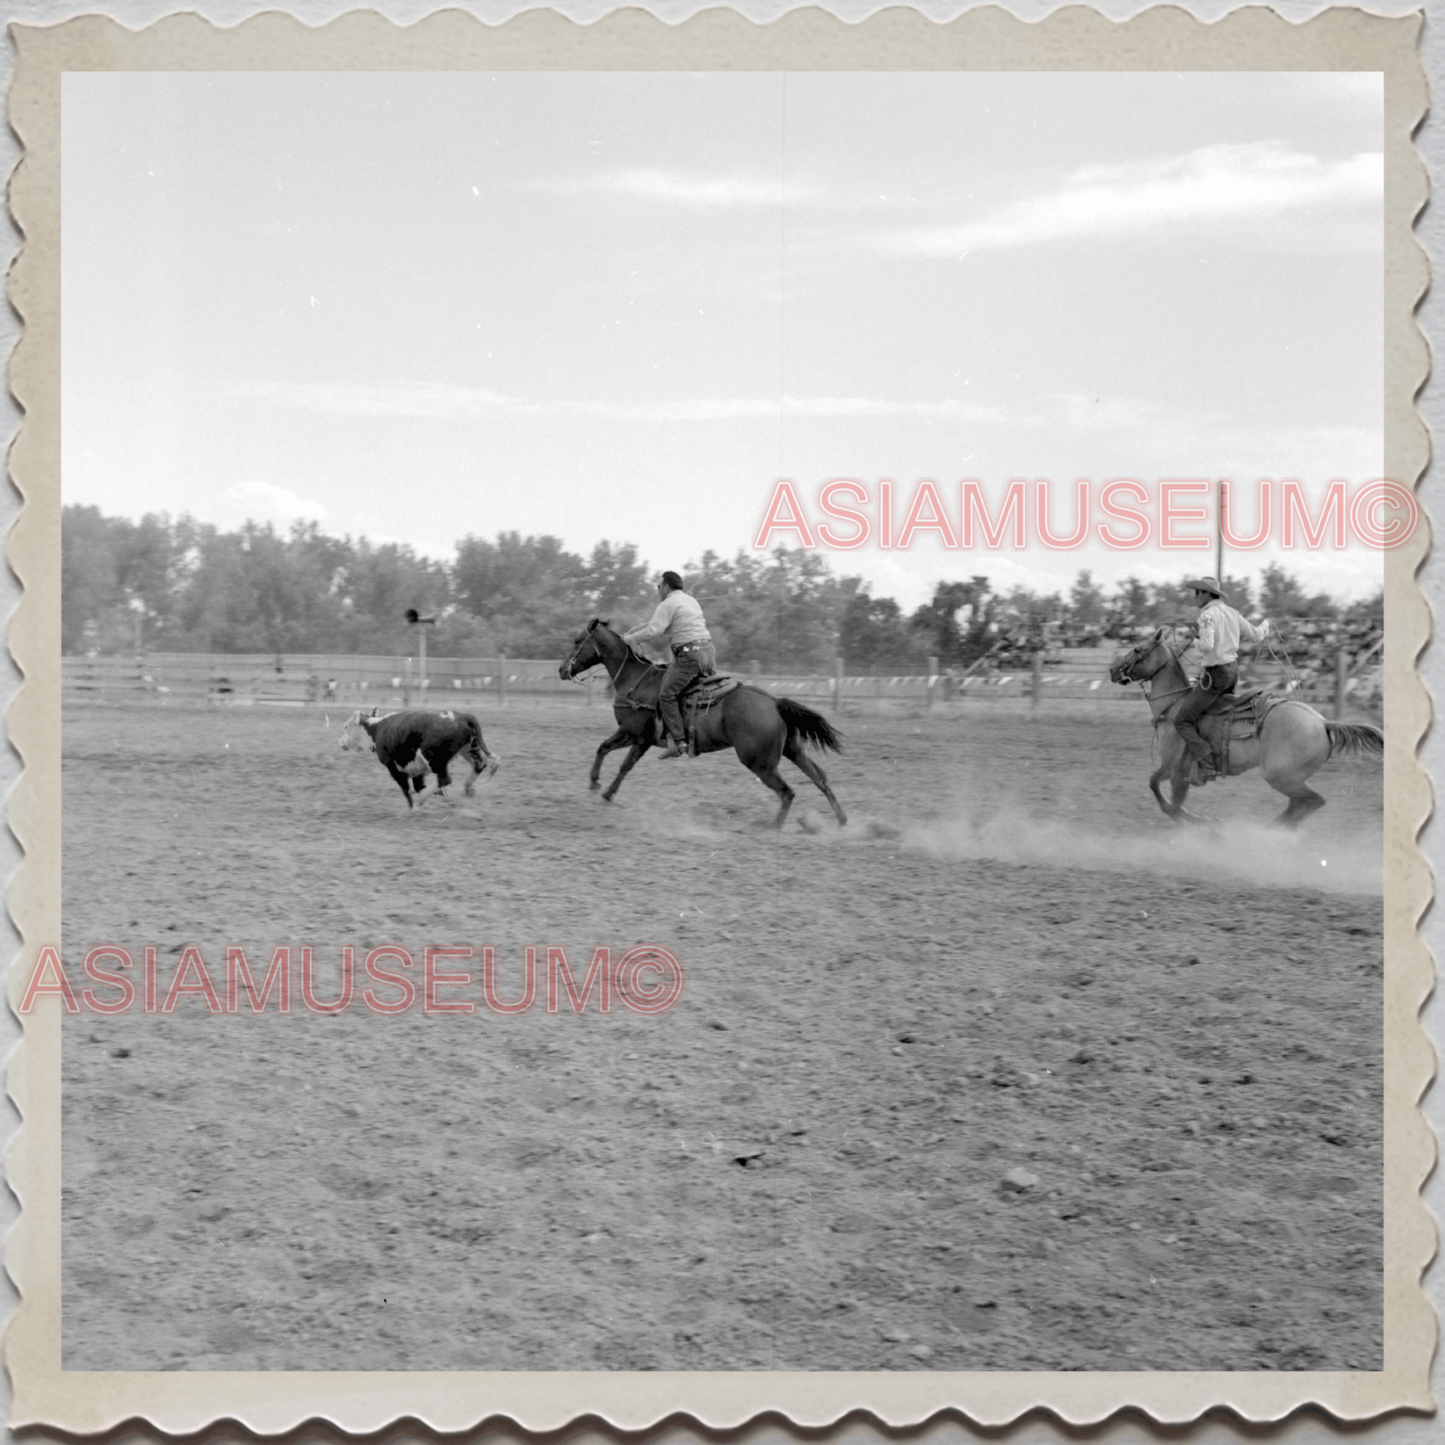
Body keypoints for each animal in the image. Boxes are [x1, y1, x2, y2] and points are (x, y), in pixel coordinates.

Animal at [338, 705, 502, 809]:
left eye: (346, 727)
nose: (339, 742)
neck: (376, 729)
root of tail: (463, 716)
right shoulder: (417, 768)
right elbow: (418, 786)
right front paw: (440, 793)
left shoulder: (393, 767)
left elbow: (406, 789)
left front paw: (412, 808)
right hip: (469, 749)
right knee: (479, 764)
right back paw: (468, 789)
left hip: (435, 759)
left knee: (444, 779)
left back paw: (421, 801)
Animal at [554, 615, 843, 832]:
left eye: (577, 640)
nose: (561, 670)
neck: (635, 679)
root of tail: (774, 701)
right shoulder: (630, 735)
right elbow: (603, 748)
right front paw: (595, 784)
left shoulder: (637, 736)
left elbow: (624, 764)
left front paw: (606, 792)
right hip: (792, 750)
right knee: (820, 778)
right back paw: (842, 821)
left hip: (760, 763)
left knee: (788, 792)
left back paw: (773, 828)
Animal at [1109, 627, 1381, 832]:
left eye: (1138, 649)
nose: (1112, 670)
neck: (1175, 706)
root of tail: (1323, 722)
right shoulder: (1168, 767)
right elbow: (1155, 787)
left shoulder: (1178, 771)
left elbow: (1174, 807)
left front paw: (1211, 825)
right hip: (1291, 778)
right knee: (1300, 804)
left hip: (1280, 777)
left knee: (1313, 801)